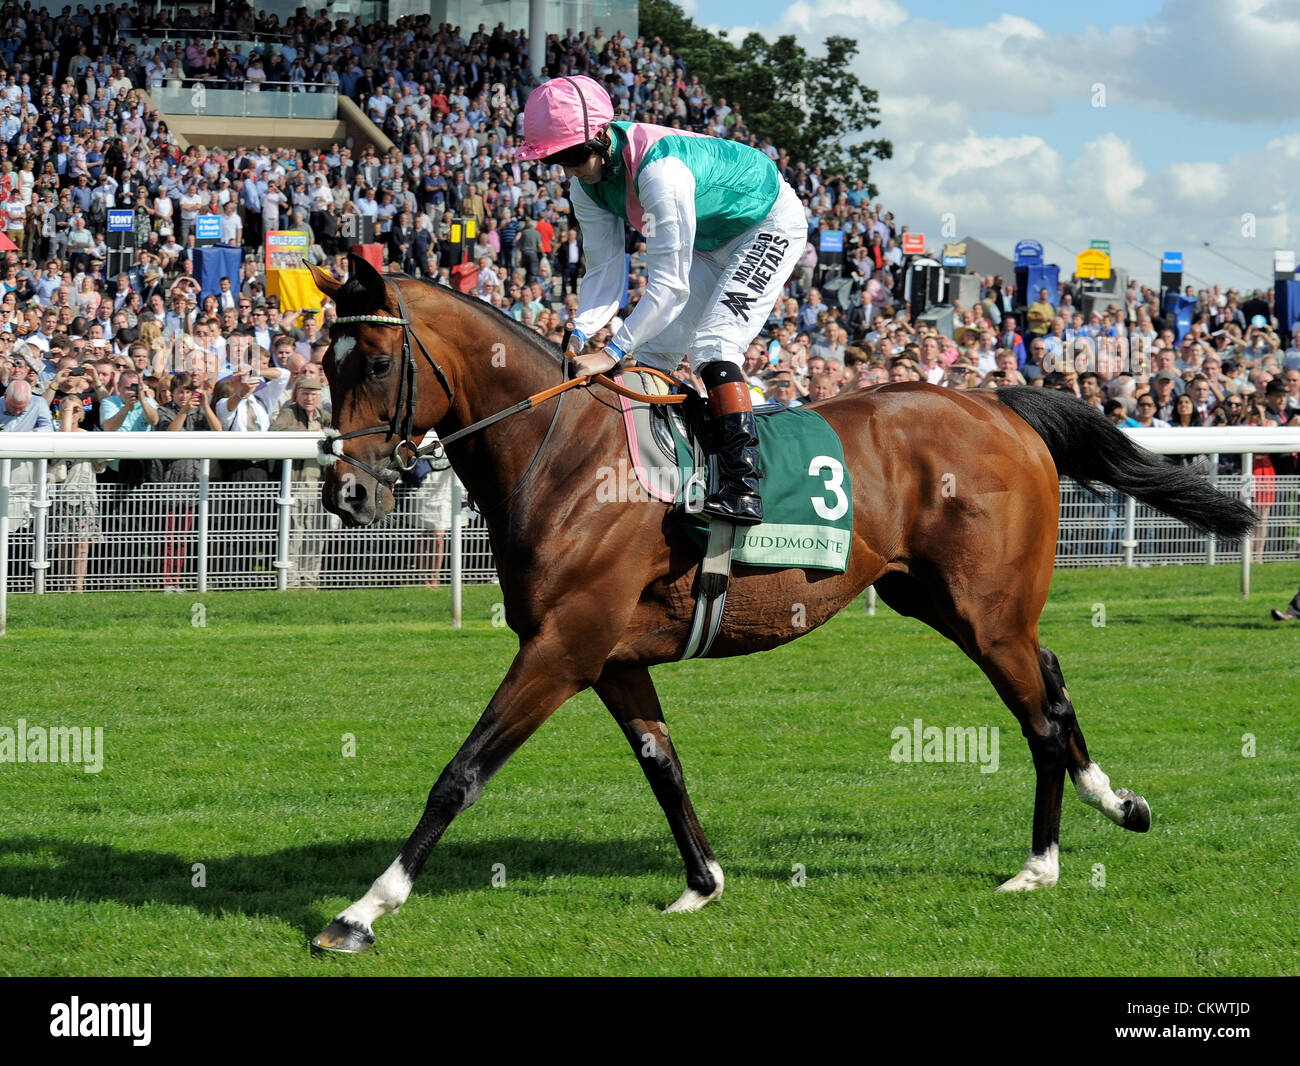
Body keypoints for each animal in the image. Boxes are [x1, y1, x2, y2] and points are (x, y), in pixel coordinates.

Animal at [301, 253, 1248, 951]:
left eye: (378, 363)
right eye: (320, 365)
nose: (346, 494)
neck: (565, 454)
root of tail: (997, 401)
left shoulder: (562, 646)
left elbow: (460, 774)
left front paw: (360, 911)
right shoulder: (608, 654)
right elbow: (663, 764)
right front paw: (702, 884)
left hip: (987, 611)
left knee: (1039, 710)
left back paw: (1044, 862)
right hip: (941, 600)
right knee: (1047, 679)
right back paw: (1112, 804)